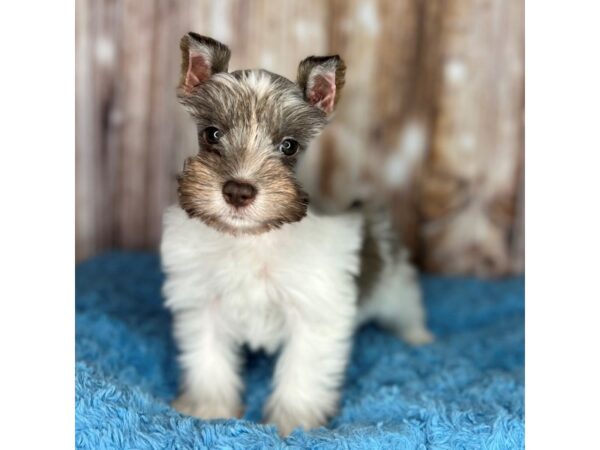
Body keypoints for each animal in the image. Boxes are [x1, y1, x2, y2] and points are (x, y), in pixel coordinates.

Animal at [159, 32, 432, 436]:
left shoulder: (315, 314)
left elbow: (301, 372)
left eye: (289, 145)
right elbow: (208, 359)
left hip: (394, 286)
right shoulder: (204, 304)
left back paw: (419, 337)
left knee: (406, 307)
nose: (238, 191)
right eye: (212, 134)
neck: (252, 238)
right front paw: (209, 409)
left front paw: (293, 423)